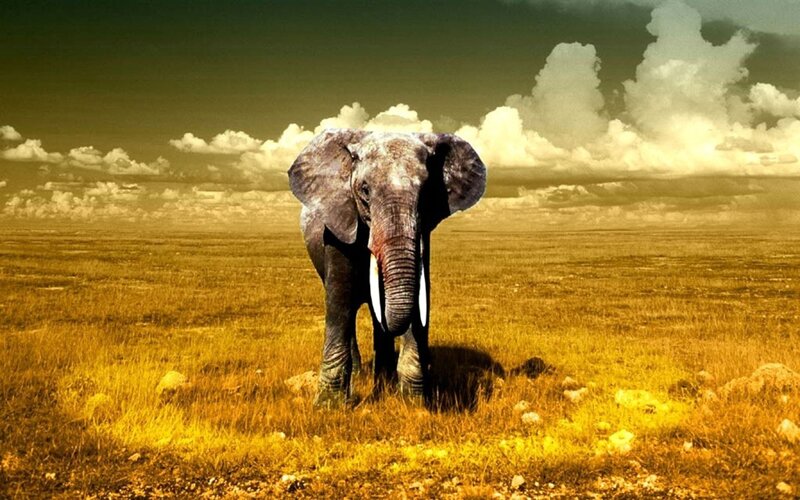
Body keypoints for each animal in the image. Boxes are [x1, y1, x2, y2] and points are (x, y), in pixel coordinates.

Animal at [288, 128, 487, 408]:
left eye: (426, 194)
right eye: (365, 190)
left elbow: (418, 296)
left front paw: (413, 403)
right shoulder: (338, 223)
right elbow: (339, 298)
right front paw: (329, 406)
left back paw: (383, 381)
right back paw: (361, 376)